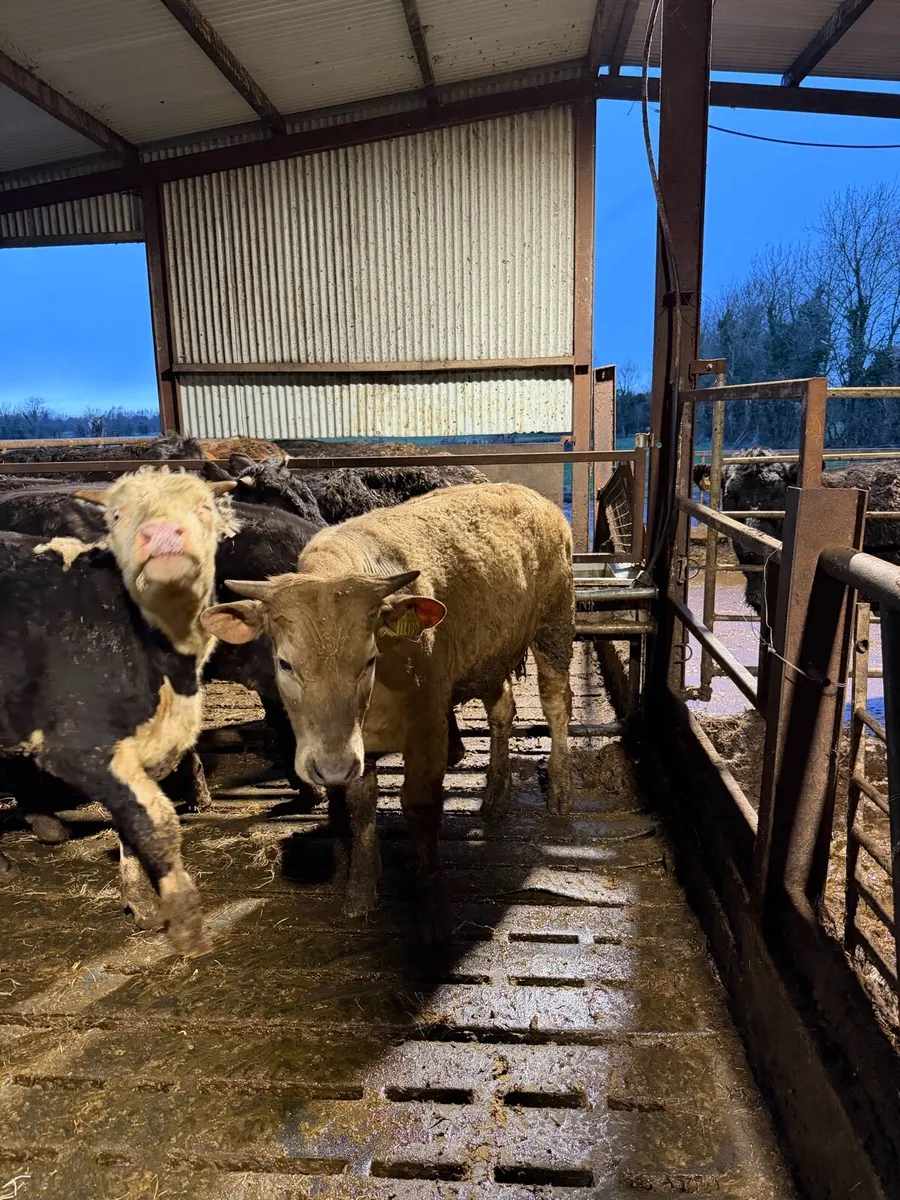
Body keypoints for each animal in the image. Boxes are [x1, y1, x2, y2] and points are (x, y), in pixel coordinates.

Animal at [0, 468, 238, 955]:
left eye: (204, 506)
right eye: (116, 514)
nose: (162, 533)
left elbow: (131, 824)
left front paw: (143, 906)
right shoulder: (80, 746)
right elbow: (157, 822)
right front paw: (187, 925)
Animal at [201, 482, 575, 938]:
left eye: (368, 660)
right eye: (285, 663)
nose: (329, 767)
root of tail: (534, 497)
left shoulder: (429, 729)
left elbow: (420, 807)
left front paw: (433, 904)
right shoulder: (358, 749)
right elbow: (362, 808)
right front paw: (361, 890)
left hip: (555, 622)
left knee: (556, 703)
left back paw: (559, 791)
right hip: (489, 654)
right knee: (502, 708)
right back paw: (495, 794)